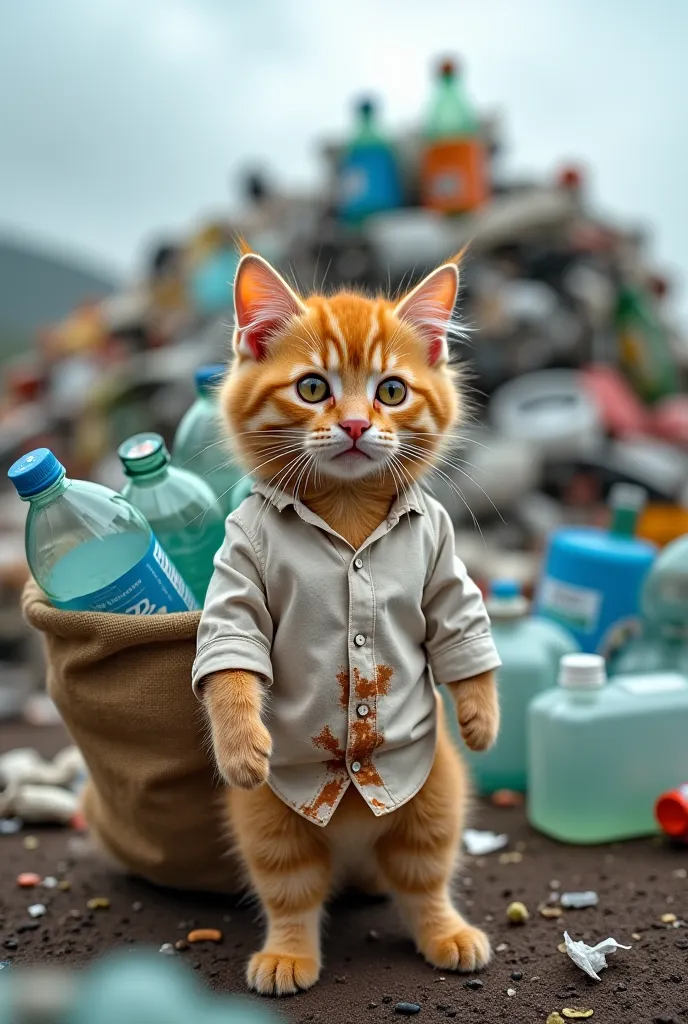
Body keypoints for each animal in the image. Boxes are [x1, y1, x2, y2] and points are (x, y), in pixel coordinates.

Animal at [198, 247, 499, 991]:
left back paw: (447, 933)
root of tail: (354, 849)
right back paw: (288, 954)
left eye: (391, 392)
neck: (347, 505)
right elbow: (231, 655)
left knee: (422, 877)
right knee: (293, 888)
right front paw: (241, 744)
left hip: (434, 797)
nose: (359, 425)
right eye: (313, 388)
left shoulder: (442, 558)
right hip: (271, 821)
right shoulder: (237, 569)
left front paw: (480, 717)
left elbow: (461, 628)